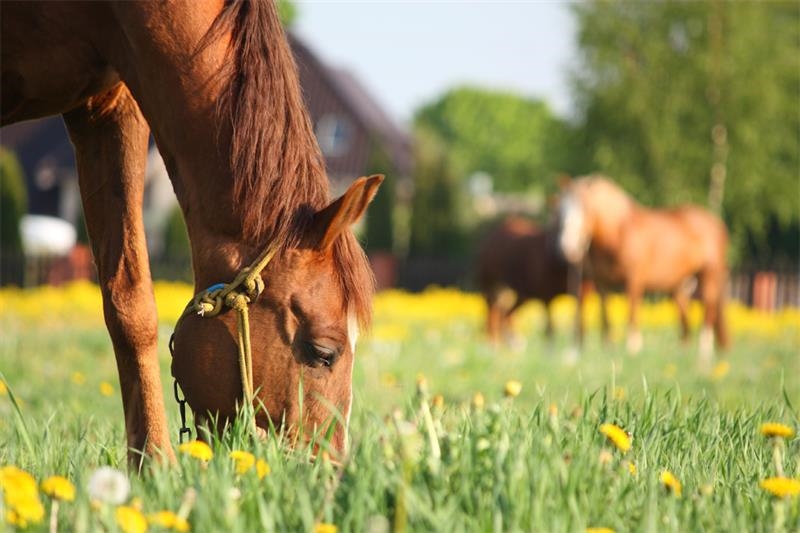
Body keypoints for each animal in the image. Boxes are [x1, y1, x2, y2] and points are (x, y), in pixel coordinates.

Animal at [476, 217, 577, 347]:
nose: (568, 249)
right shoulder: (546, 296)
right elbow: (550, 328)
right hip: (494, 287)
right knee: (494, 311)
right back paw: (495, 342)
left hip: (517, 295)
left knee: (505, 313)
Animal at [556, 175, 729, 366]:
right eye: (561, 210)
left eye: (586, 208)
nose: (568, 246)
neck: (617, 233)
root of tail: (715, 222)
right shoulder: (602, 283)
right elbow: (605, 316)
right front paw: (608, 349)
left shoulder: (634, 280)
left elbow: (632, 311)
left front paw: (632, 349)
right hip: (680, 285)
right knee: (685, 319)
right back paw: (682, 355)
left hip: (710, 275)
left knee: (709, 310)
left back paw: (703, 356)